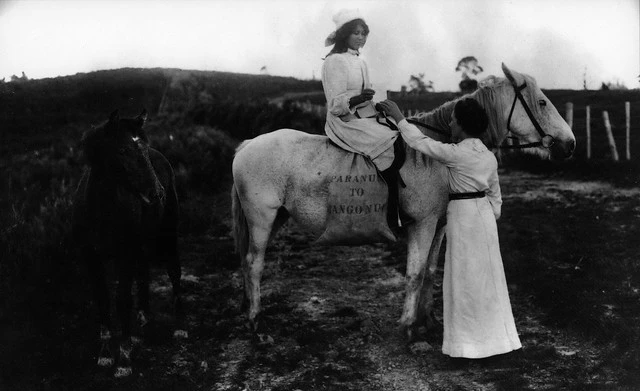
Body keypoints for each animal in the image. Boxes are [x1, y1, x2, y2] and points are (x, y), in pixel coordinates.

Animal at [74, 108, 188, 378]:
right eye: (123, 150)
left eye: (143, 147)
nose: (157, 193)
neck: (101, 211)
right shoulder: (91, 258)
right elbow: (102, 298)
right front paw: (106, 353)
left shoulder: (124, 255)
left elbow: (122, 300)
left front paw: (124, 359)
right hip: (141, 243)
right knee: (144, 271)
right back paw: (143, 318)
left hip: (167, 235)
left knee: (174, 271)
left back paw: (179, 326)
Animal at [230, 63, 576, 336]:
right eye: (542, 102)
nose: (570, 144)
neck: (436, 152)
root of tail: (247, 145)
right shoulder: (421, 224)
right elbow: (414, 273)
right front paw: (409, 327)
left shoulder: (439, 225)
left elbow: (431, 271)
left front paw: (429, 321)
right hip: (262, 218)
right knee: (254, 263)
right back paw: (255, 322)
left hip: (276, 218)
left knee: (248, 262)